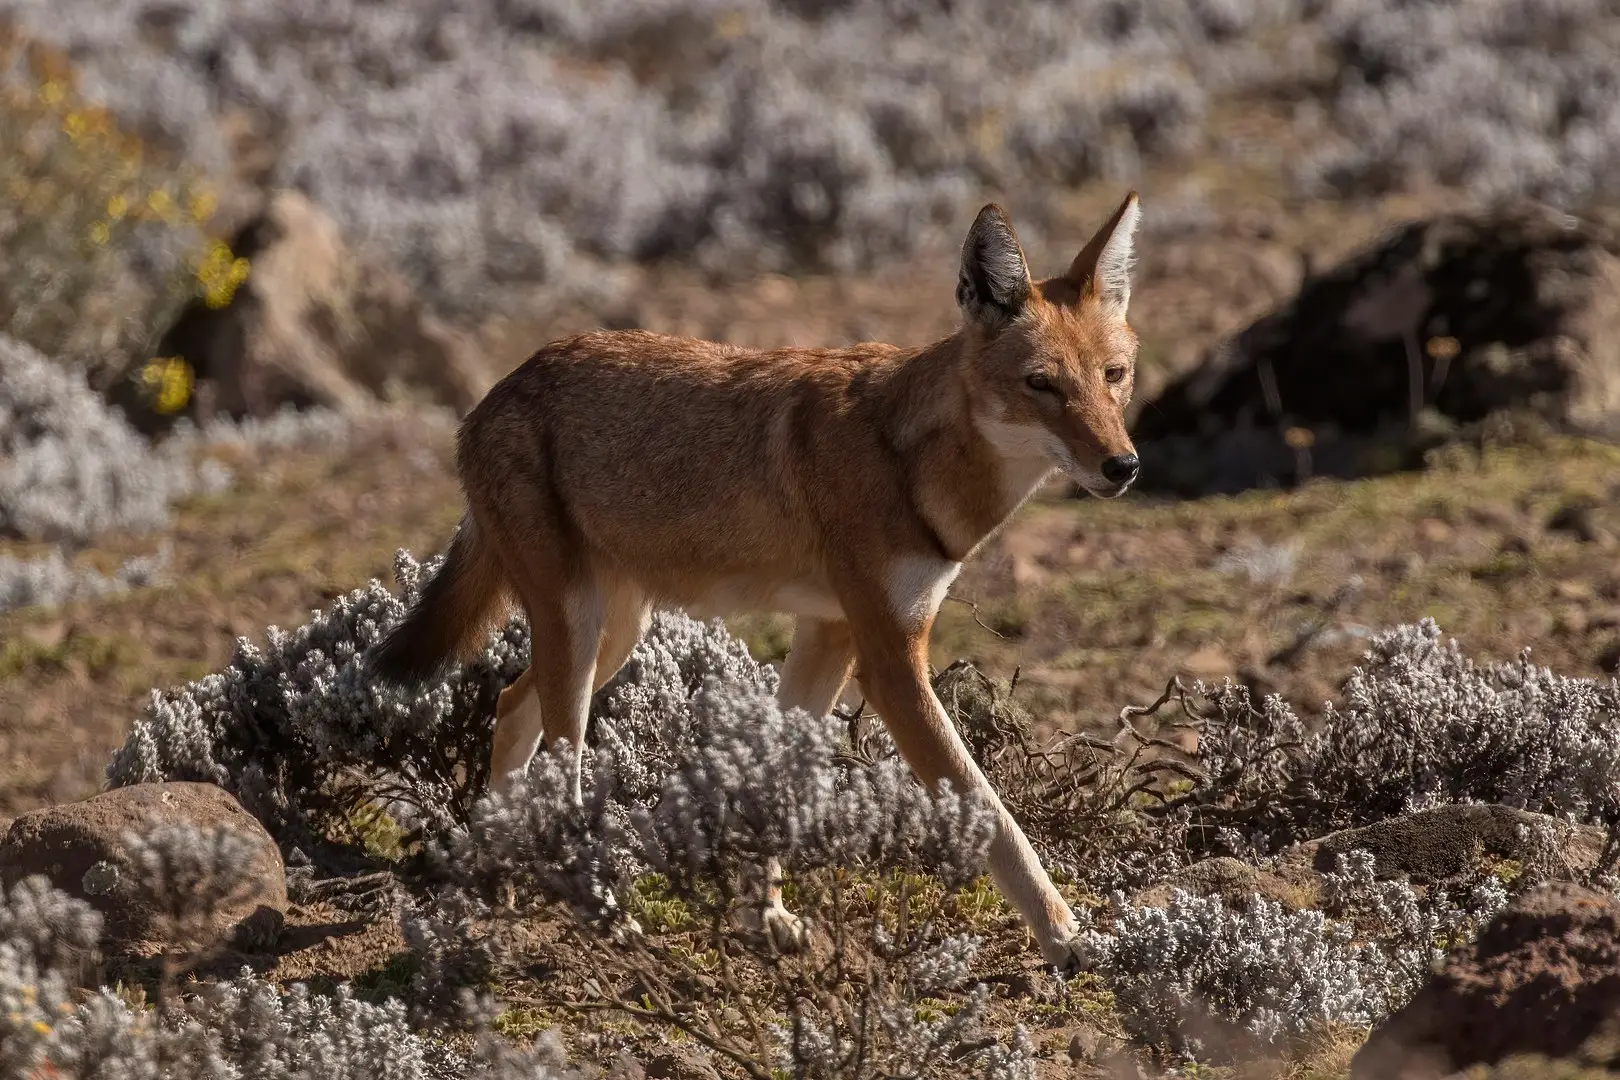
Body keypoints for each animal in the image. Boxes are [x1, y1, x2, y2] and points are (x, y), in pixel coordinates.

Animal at [372, 194, 1146, 971]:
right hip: (582, 634)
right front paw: (1068, 936)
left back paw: (498, 875)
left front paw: (764, 915)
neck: (911, 461)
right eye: (1041, 385)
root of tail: (494, 393)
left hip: (612, 636)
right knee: (561, 769)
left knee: (509, 707)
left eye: (1114, 376)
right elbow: (992, 814)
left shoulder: (831, 635)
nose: (1124, 466)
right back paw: (602, 912)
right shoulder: (891, 665)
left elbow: (776, 781)